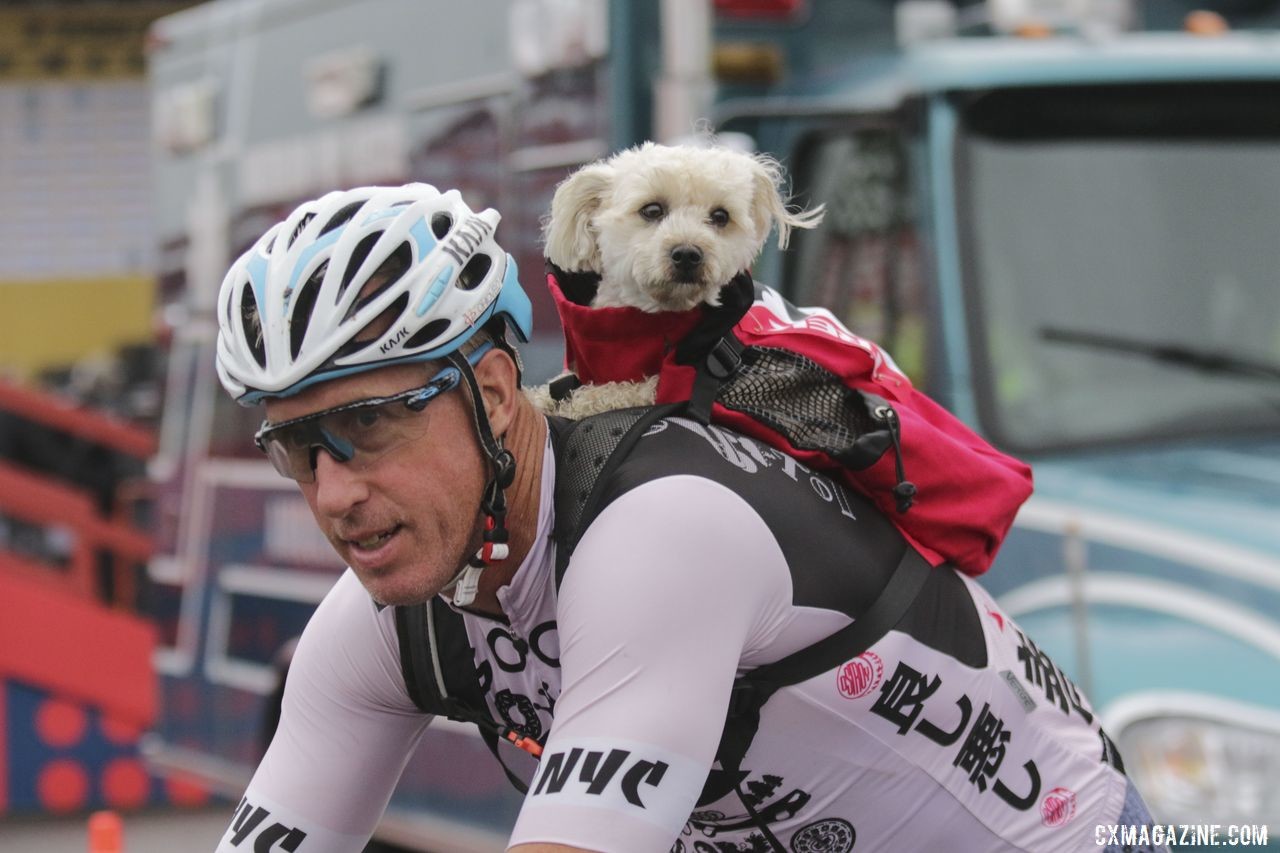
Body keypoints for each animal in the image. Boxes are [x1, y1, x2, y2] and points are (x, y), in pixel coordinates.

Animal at [527, 140, 819, 417]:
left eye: (720, 216)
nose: (688, 254)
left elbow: (627, 389)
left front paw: (580, 400)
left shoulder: (662, 385)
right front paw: (537, 397)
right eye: (652, 210)